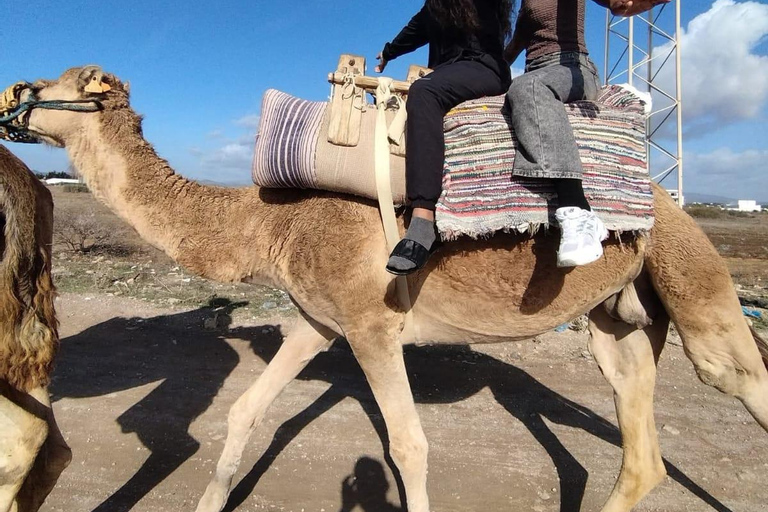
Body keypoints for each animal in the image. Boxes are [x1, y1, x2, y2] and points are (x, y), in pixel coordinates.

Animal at [5, 65, 767, 512]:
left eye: (41, 87)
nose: (7, 96)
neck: (271, 222)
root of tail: (664, 198)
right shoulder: (318, 319)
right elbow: (245, 411)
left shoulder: (372, 327)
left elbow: (408, 446)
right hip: (617, 318)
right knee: (639, 448)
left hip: (692, 278)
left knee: (737, 373)